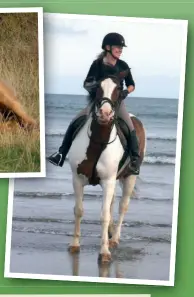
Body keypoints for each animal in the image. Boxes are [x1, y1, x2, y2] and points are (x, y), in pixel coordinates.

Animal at [67, 71, 145, 262]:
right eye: (97, 88)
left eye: (118, 89)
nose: (105, 113)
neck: (98, 141)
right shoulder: (77, 179)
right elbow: (79, 210)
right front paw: (75, 244)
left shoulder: (108, 181)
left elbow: (104, 215)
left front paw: (104, 252)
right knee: (112, 204)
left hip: (129, 177)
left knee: (122, 206)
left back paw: (114, 239)